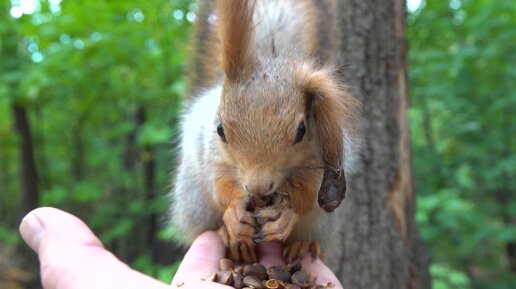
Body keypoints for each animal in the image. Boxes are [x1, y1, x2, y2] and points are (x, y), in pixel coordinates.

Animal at [169, 0, 358, 262]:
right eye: (220, 130)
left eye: (301, 130)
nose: (257, 187)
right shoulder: (213, 156)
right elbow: (220, 186)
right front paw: (234, 213)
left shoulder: (319, 161)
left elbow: (308, 195)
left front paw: (286, 215)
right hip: (193, 200)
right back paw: (231, 239)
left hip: (322, 224)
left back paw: (302, 245)